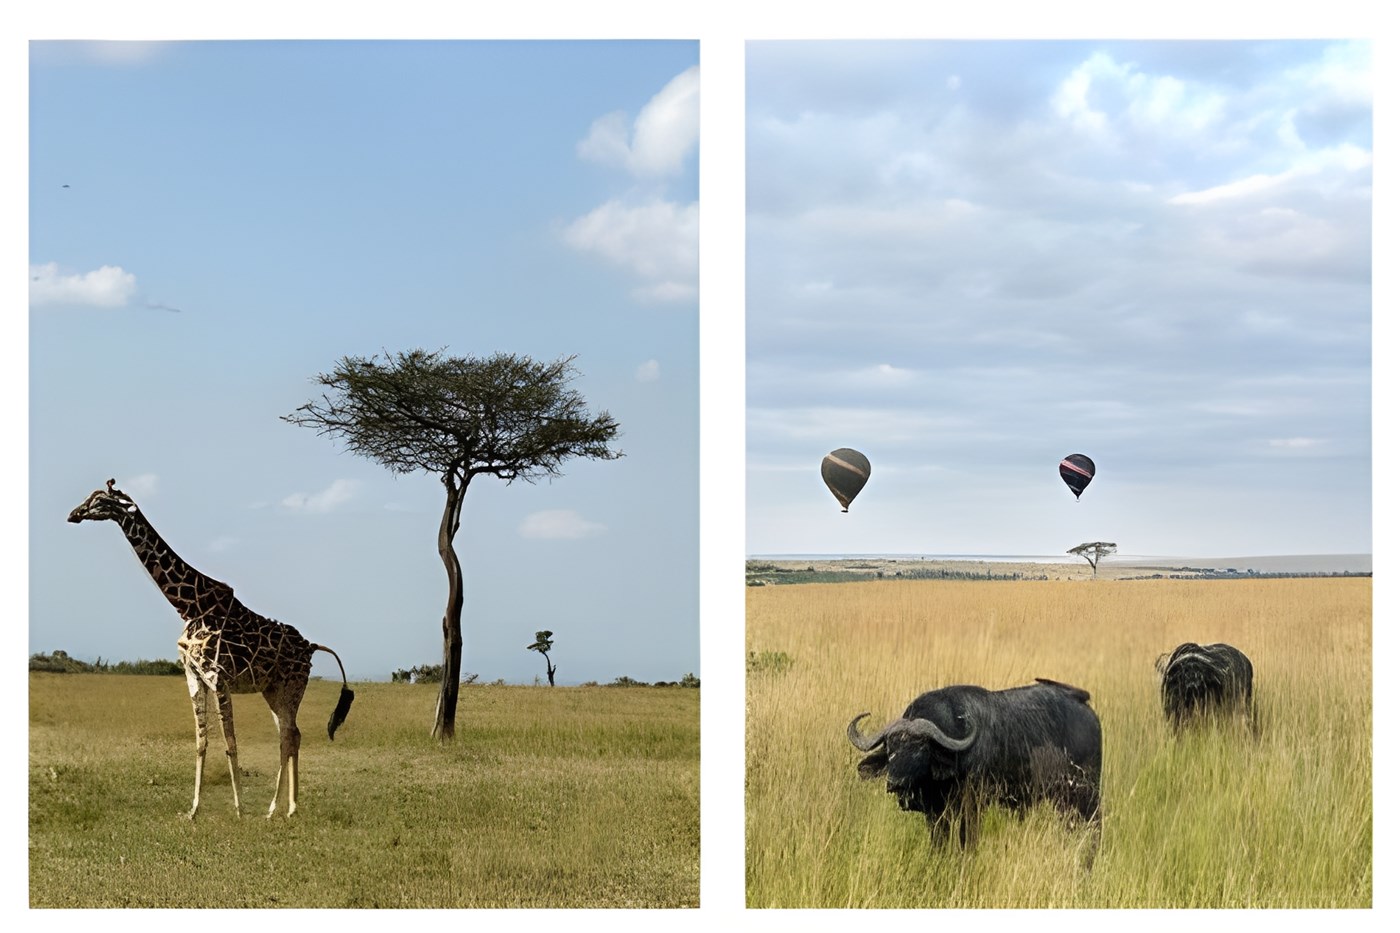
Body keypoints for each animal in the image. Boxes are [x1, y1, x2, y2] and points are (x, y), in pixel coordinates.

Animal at [68, 479, 354, 819]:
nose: (73, 514)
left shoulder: (218, 676)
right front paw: (193, 811)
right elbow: (201, 742)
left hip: (293, 685)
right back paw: (288, 809)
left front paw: (240, 811)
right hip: (273, 690)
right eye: (90, 497)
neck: (189, 606)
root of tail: (311, 647)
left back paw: (275, 809)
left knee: (287, 735)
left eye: (101, 501)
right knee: (291, 734)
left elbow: (230, 743)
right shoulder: (193, 675)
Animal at [847, 678, 1102, 850]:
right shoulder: (934, 814)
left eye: (921, 750)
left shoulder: (972, 807)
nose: (896, 783)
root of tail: (1084, 705)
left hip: (1086, 797)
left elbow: (966, 842)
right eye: (891, 749)